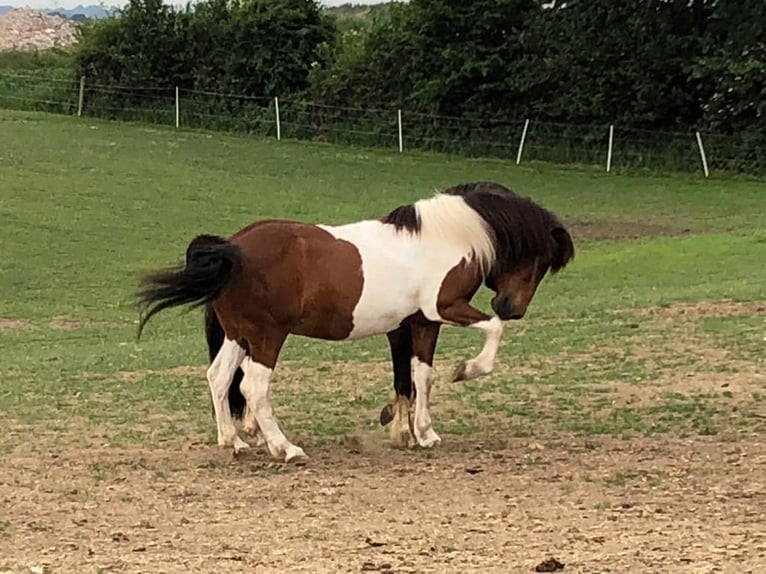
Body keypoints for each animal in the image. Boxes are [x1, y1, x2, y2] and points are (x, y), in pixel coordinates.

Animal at [136, 181, 575, 462]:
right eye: (540, 260)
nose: (512, 306)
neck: (445, 237)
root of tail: (232, 248)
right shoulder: (444, 308)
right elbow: (491, 332)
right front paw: (467, 370)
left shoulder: (422, 322)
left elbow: (421, 376)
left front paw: (424, 433)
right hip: (265, 337)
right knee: (253, 386)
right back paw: (285, 448)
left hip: (238, 335)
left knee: (220, 377)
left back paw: (233, 442)